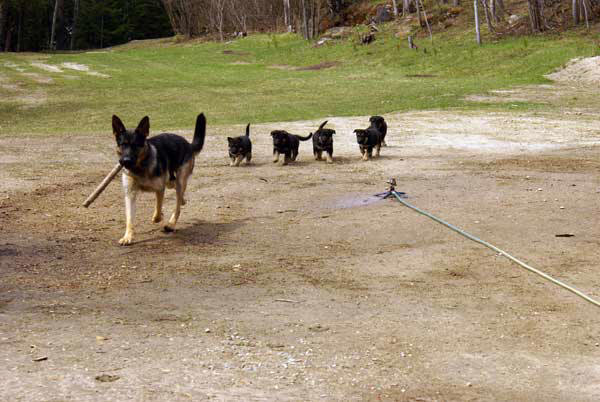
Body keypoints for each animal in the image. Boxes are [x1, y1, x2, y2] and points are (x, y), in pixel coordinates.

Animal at [112, 113, 206, 245]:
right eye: (122, 145)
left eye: (136, 145)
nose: (126, 161)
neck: (140, 167)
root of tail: (188, 144)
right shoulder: (130, 194)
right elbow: (130, 219)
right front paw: (128, 237)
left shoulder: (159, 189)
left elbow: (158, 209)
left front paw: (157, 217)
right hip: (170, 181)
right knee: (176, 189)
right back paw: (182, 201)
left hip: (179, 180)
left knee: (178, 205)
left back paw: (171, 224)